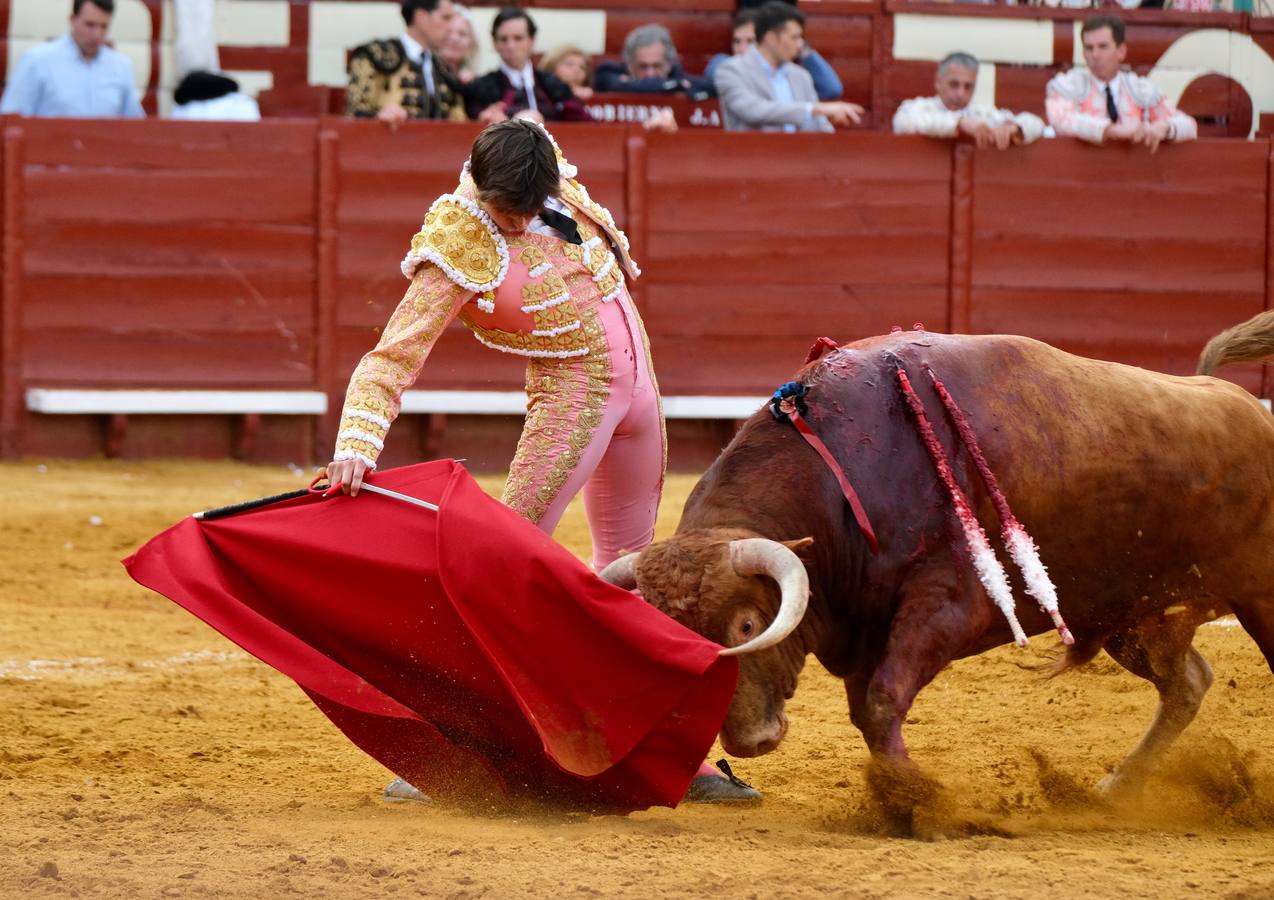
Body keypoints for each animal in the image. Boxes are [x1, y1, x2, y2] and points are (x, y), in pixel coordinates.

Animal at [601, 312, 1274, 795]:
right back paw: (1117, 787)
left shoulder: (948, 604)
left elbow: (882, 703)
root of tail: (1234, 398)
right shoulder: (869, 626)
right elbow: (870, 712)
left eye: (746, 625)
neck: (844, 474)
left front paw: (917, 802)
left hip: (1255, 598)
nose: (747, 742)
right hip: (1130, 614)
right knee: (1187, 682)